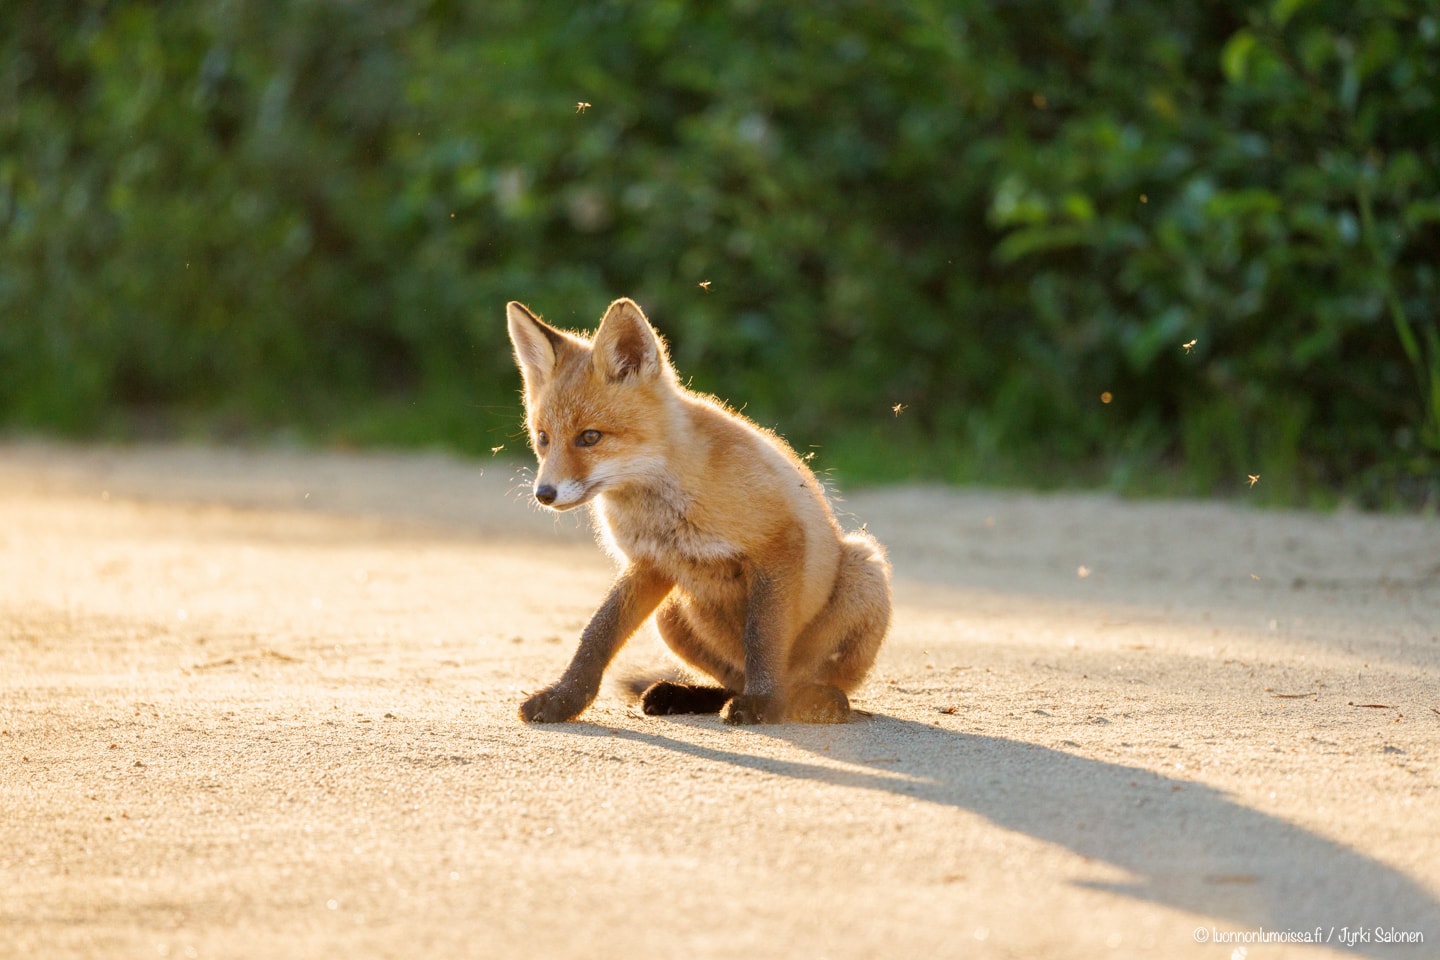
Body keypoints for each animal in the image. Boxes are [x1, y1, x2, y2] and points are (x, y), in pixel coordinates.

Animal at [506, 296, 887, 725]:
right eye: (542, 438)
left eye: (590, 437)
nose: (544, 493)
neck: (665, 505)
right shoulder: (651, 564)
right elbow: (596, 634)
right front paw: (565, 698)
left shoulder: (779, 542)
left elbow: (763, 637)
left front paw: (761, 703)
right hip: (671, 613)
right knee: (731, 681)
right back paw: (686, 695)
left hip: (864, 566)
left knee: (807, 679)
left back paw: (812, 699)